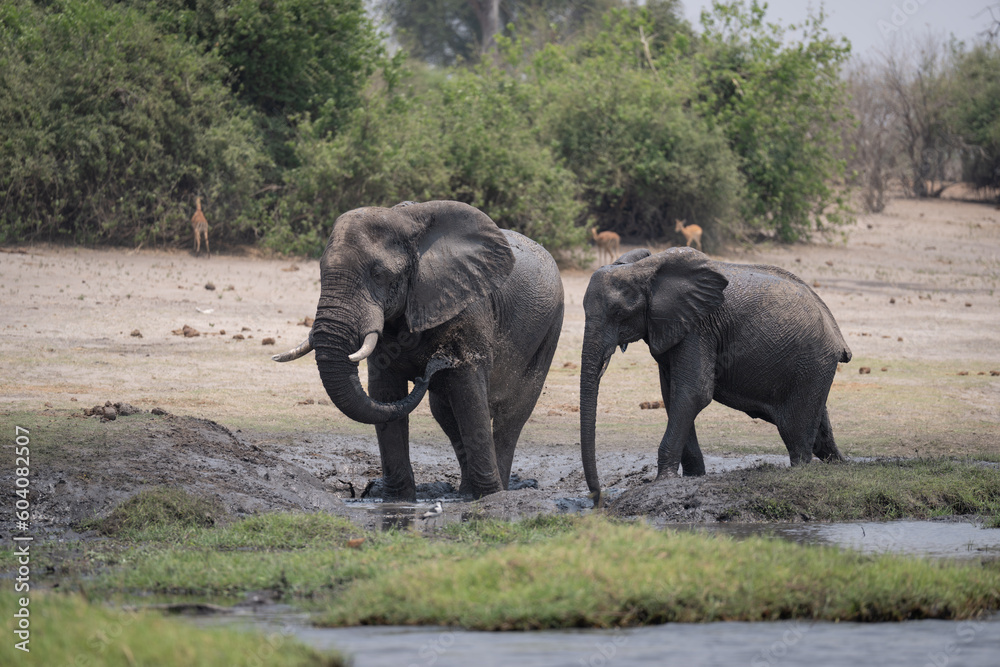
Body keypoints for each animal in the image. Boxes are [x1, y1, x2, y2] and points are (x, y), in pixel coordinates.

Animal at [274, 201, 564, 500]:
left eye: (379, 275)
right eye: (321, 271)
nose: (435, 364)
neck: (406, 223)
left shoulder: (469, 309)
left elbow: (470, 396)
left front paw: (488, 497)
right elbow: (385, 394)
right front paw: (397, 501)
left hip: (551, 325)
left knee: (511, 415)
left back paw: (496, 492)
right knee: (445, 413)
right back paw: (463, 493)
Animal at [579, 247, 850, 503]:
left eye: (618, 312)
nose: (598, 501)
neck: (644, 269)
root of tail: (838, 336)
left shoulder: (698, 328)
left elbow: (693, 393)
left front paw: (663, 481)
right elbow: (673, 395)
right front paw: (693, 477)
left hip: (811, 364)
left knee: (797, 435)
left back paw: (800, 469)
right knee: (820, 435)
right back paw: (840, 463)